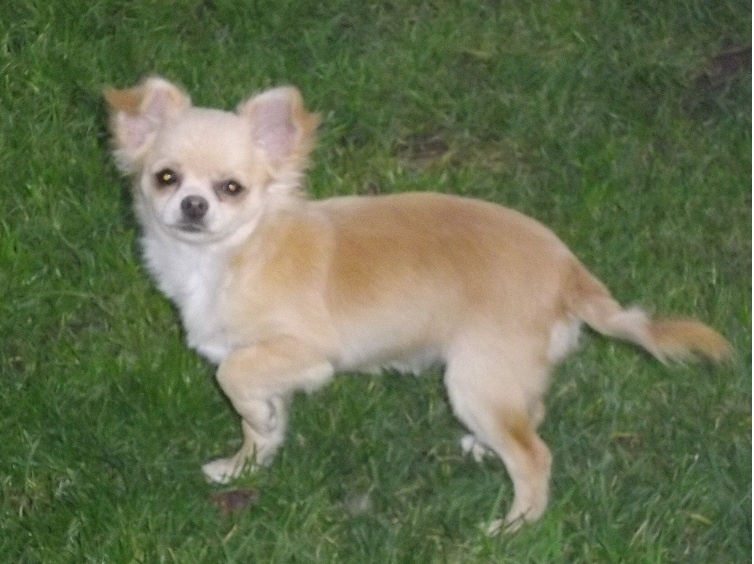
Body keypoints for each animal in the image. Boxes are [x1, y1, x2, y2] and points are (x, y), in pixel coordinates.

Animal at [104, 77, 731, 532]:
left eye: (231, 189)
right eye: (166, 178)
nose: (193, 205)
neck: (230, 256)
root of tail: (568, 270)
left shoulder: (304, 353)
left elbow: (235, 377)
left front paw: (254, 425)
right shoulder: (267, 364)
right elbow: (260, 422)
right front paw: (246, 464)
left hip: (473, 380)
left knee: (535, 456)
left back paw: (512, 529)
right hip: (500, 379)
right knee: (530, 416)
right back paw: (485, 449)